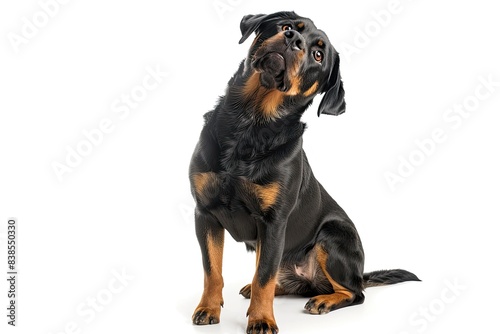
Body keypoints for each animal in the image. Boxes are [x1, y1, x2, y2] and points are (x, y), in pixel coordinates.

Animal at [188, 11, 418, 334]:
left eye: (318, 55)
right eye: (287, 26)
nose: (293, 40)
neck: (251, 123)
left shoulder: (273, 222)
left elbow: (264, 277)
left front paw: (261, 319)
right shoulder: (205, 213)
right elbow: (213, 270)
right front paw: (208, 308)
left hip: (332, 236)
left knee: (353, 292)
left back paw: (324, 300)